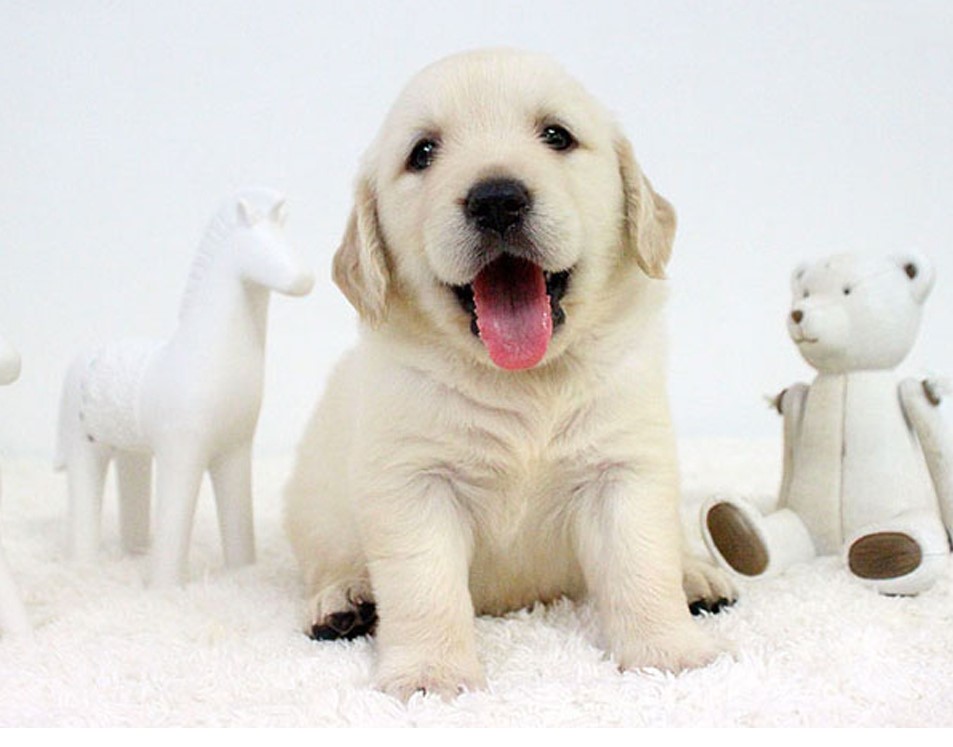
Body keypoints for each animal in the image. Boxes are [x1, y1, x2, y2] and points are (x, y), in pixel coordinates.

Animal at [285, 48, 734, 700]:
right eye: (422, 152)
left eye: (557, 136)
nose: (496, 199)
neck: (525, 379)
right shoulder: (413, 480)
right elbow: (424, 586)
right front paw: (431, 673)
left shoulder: (624, 466)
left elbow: (641, 564)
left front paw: (668, 652)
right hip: (314, 502)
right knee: (328, 557)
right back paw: (343, 599)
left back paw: (697, 575)